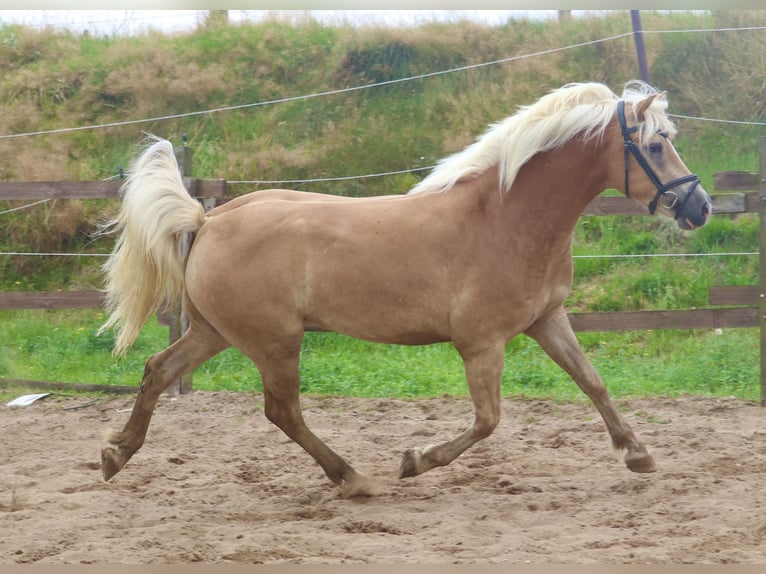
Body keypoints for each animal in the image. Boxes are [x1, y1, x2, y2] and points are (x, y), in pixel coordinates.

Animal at [97, 81, 712, 500]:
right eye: (656, 146)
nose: (699, 208)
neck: (506, 217)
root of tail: (209, 219)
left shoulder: (547, 320)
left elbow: (593, 383)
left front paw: (638, 454)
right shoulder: (481, 344)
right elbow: (488, 420)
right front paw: (415, 460)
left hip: (217, 331)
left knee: (158, 369)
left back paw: (115, 455)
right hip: (274, 342)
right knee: (282, 411)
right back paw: (354, 478)